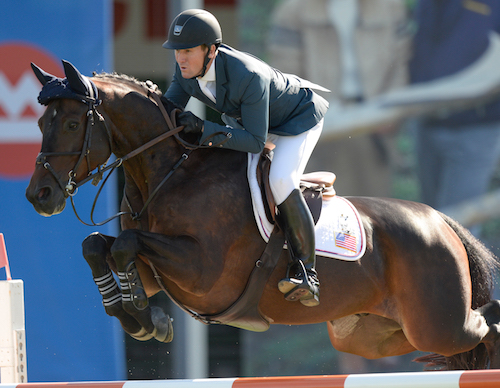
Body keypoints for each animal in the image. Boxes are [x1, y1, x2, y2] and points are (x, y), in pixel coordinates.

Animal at [25, 59, 500, 370]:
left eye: (72, 124)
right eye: (41, 123)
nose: (39, 196)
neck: (170, 172)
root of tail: (440, 222)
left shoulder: (202, 272)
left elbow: (124, 244)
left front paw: (144, 317)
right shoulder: (158, 272)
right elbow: (97, 246)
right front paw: (141, 319)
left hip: (438, 322)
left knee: (482, 325)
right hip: (372, 335)